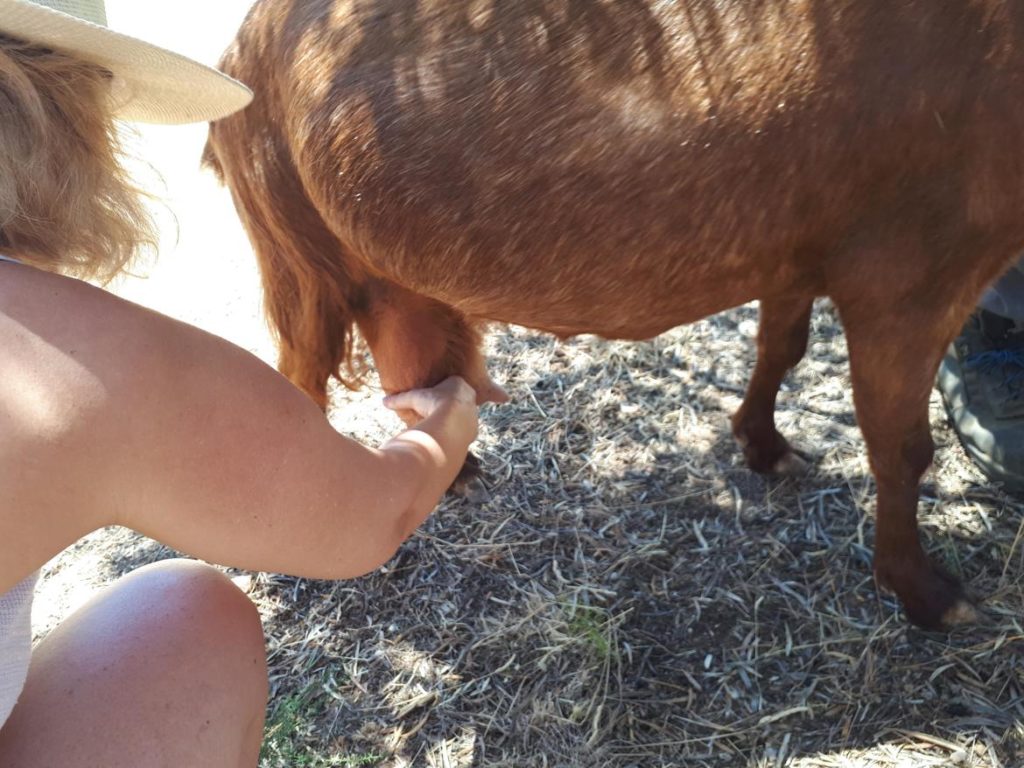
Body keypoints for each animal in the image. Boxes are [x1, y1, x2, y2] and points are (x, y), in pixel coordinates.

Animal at [201, 0, 1024, 630]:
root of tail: (240, 47)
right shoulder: (912, 273)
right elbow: (902, 446)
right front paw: (925, 592)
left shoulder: (797, 253)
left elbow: (781, 347)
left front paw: (762, 445)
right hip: (297, 261)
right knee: (298, 381)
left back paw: (457, 466)